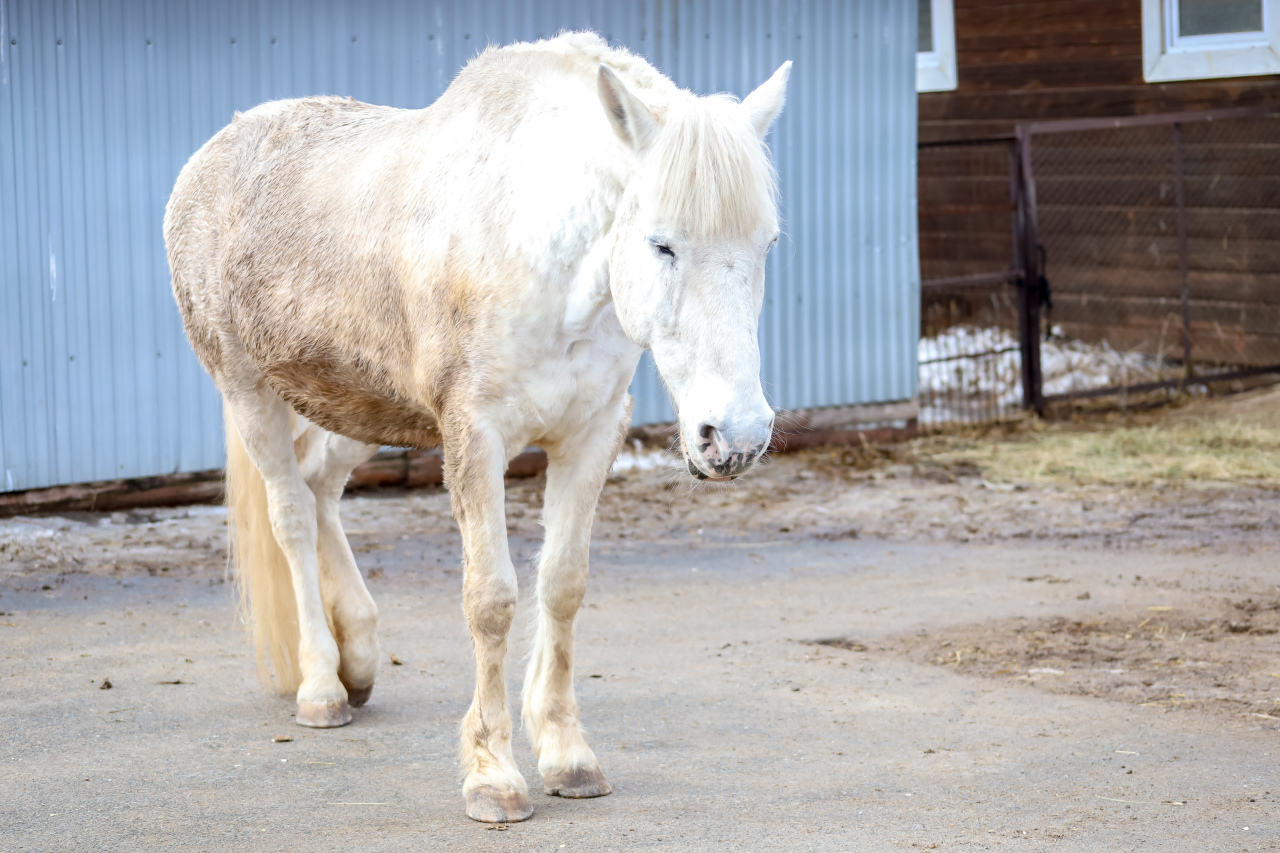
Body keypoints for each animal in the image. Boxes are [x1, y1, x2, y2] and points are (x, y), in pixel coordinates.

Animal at [167, 33, 788, 824]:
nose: (735, 435)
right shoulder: (474, 437)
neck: (536, 252)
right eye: (662, 244)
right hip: (251, 395)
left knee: (320, 487)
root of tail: (212, 156)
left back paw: (358, 655)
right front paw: (494, 774)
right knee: (291, 516)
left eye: (766, 243)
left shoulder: (590, 436)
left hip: (363, 409)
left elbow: (563, 584)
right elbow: (491, 600)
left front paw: (566, 753)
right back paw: (323, 686)